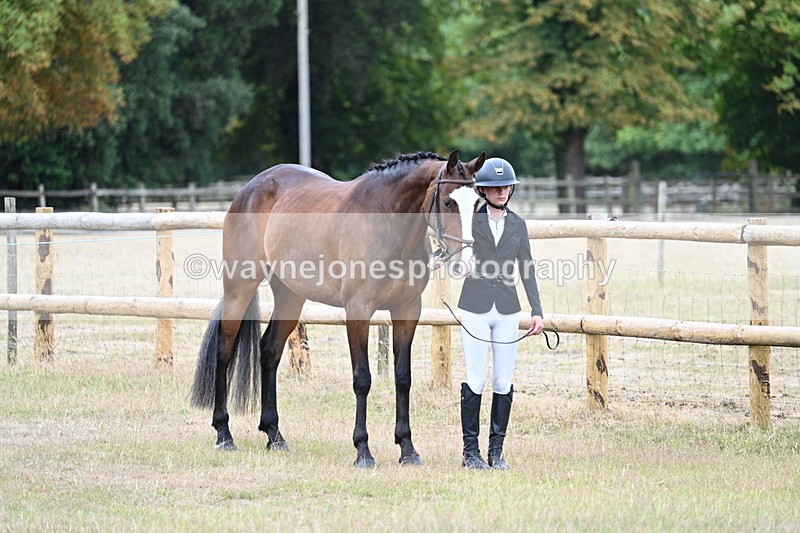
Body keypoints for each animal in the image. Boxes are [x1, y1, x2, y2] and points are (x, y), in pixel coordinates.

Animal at [190, 149, 486, 467]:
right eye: (448, 202)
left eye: (478, 203)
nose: (465, 263)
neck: (387, 223)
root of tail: (250, 188)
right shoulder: (358, 311)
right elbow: (362, 379)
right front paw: (363, 450)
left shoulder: (407, 311)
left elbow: (403, 378)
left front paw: (407, 449)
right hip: (239, 288)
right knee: (224, 350)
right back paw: (224, 434)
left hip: (290, 297)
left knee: (269, 351)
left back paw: (275, 435)